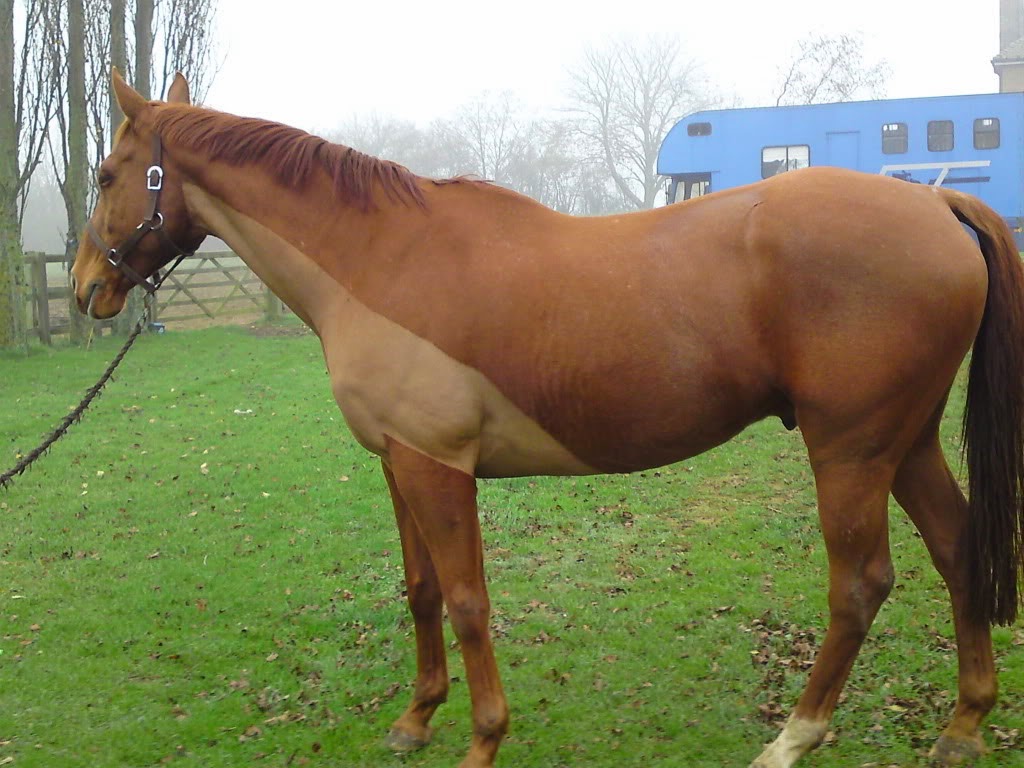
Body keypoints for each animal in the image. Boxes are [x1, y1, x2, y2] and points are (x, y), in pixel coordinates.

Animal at [70, 70, 1024, 768]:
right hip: (904, 442)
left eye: (108, 174)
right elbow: (419, 591)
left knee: (860, 585)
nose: (86, 288)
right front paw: (416, 719)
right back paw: (963, 725)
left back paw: (794, 736)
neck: (380, 262)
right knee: (955, 547)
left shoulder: (437, 468)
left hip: (850, 450)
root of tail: (936, 204)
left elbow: (467, 602)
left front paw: (482, 740)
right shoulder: (397, 462)